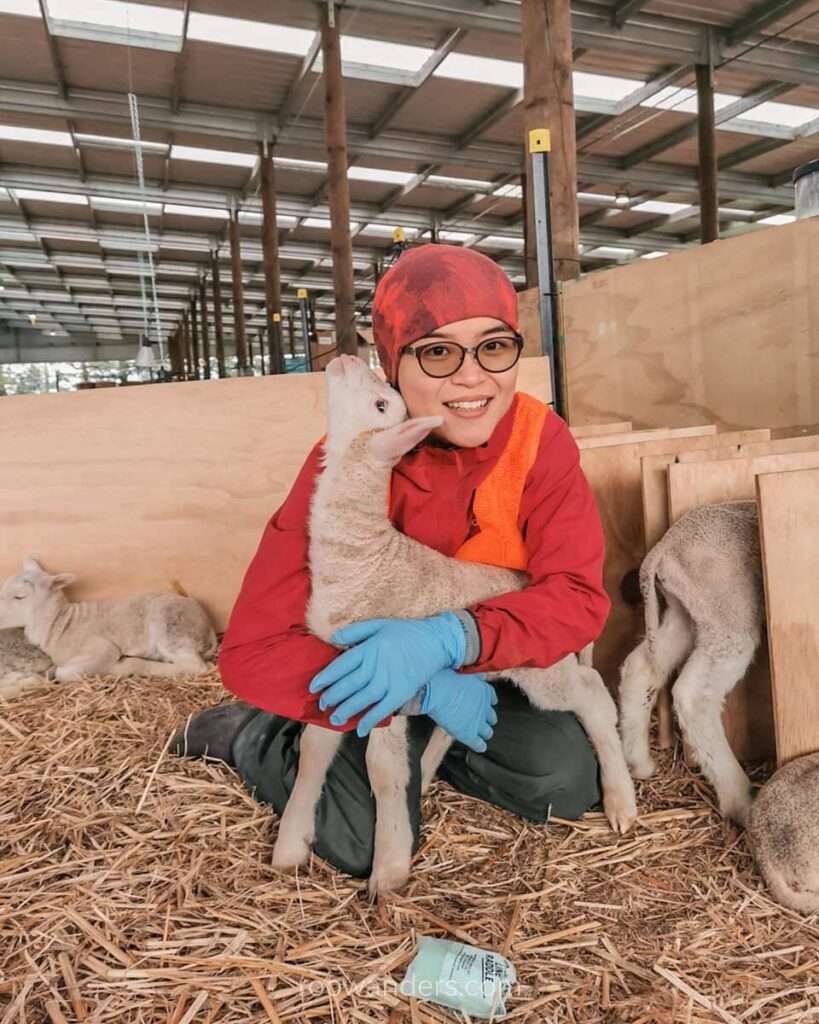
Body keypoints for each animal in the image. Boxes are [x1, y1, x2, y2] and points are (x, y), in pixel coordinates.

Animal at [618, 499, 765, 827]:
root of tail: (665, 547)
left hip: (686, 612)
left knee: (641, 667)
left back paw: (638, 761)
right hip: (728, 616)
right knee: (693, 695)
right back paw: (739, 799)